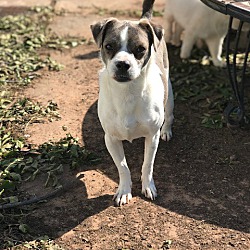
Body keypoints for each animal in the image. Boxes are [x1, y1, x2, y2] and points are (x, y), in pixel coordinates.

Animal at [90, 0, 174, 206]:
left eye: (140, 49)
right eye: (109, 46)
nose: (122, 64)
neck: (127, 93)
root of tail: (145, 18)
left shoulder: (152, 136)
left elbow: (147, 164)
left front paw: (148, 186)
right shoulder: (111, 139)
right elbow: (122, 167)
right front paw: (124, 190)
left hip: (169, 92)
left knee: (169, 115)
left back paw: (167, 130)